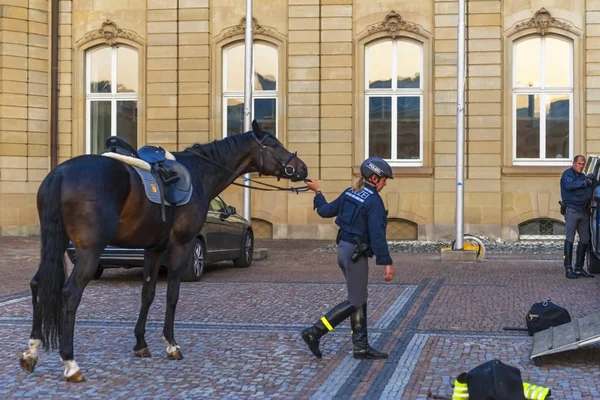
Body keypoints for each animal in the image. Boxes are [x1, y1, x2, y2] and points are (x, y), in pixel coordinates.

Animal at [18, 121, 310, 382]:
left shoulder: (153, 250)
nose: (302, 168)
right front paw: (171, 344)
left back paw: (31, 351)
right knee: (70, 293)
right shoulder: (182, 246)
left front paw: (140, 343)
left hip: (53, 244)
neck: (200, 174)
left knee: (37, 284)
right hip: (89, 252)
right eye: (274, 145)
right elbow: (172, 294)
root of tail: (61, 174)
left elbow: (147, 294)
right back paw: (70, 363)